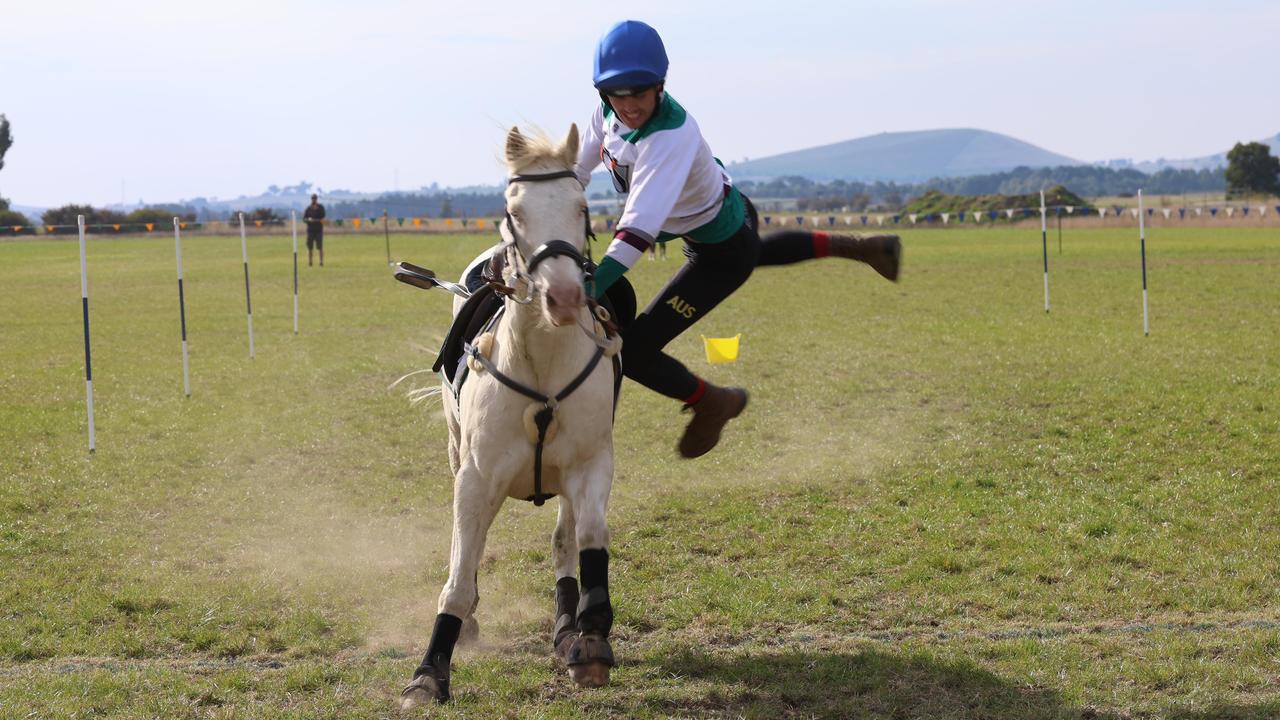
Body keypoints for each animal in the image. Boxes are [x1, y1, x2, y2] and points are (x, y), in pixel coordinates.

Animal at [399, 124, 619, 707]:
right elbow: (459, 573)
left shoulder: (591, 464)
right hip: (457, 452)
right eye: (514, 210)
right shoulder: (476, 478)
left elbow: (587, 540)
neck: (541, 362)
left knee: (565, 540)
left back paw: (568, 629)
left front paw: (591, 637)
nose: (562, 296)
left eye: (582, 205)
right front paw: (429, 672)